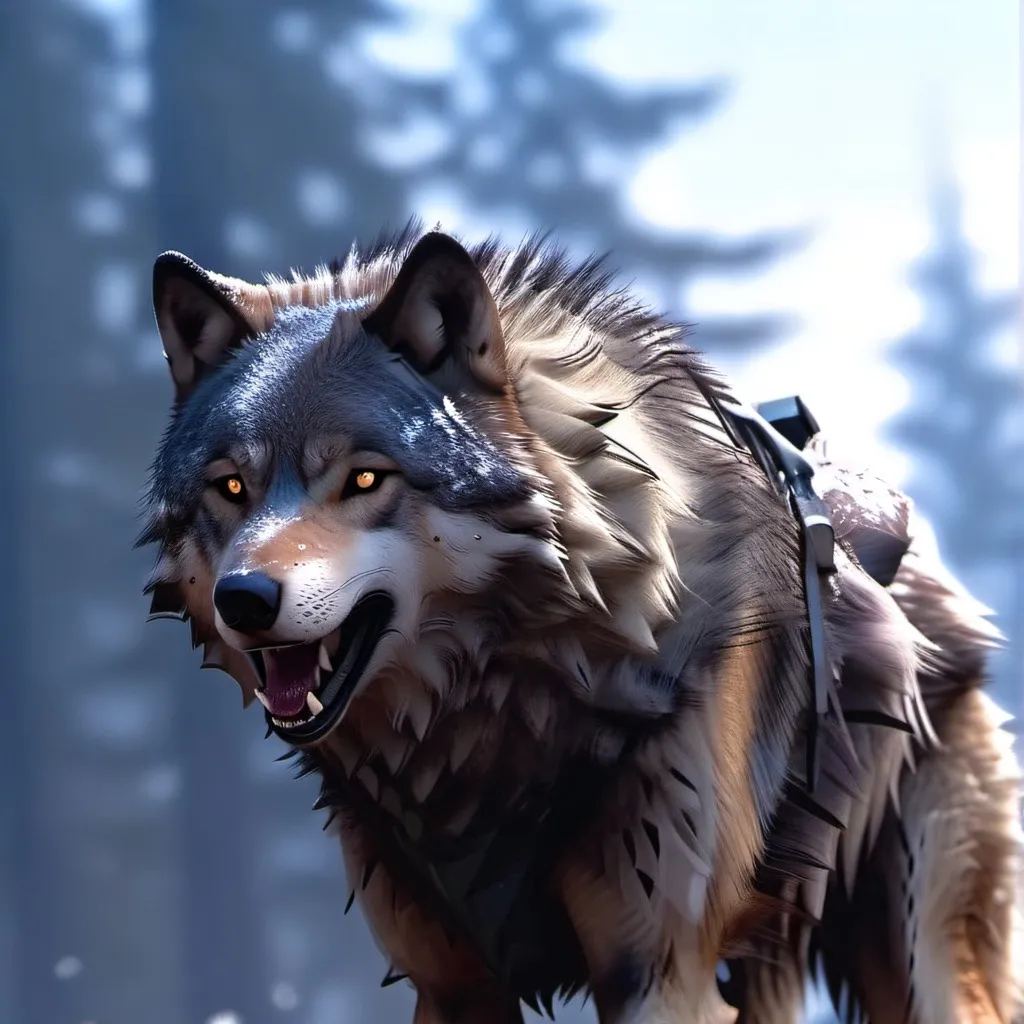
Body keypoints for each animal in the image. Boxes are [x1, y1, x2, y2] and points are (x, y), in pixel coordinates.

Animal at [140, 225, 1023, 1023]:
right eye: (230, 488)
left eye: (363, 479)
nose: (244, 599)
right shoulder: (451, 985)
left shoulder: (658, 975)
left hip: (918, 950)